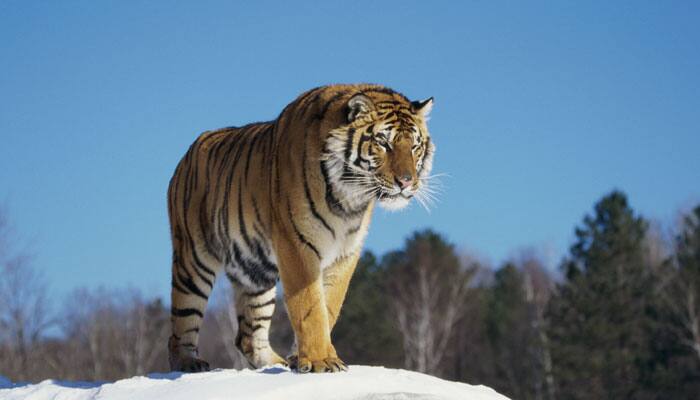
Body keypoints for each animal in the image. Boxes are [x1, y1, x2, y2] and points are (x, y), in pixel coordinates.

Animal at [167, 83, 434, 374]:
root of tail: (187, 154)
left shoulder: (345, 252)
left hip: (257, 272)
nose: (406, 182)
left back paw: (277, 364)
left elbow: (329, 306)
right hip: (194, 261)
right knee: (181, 323)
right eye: (383, 142)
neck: (348, 198)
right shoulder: (297, 244)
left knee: (248, 336)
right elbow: (309, 307)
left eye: (415, 146)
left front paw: (304, 358)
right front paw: (321, 360)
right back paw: (189, 362)